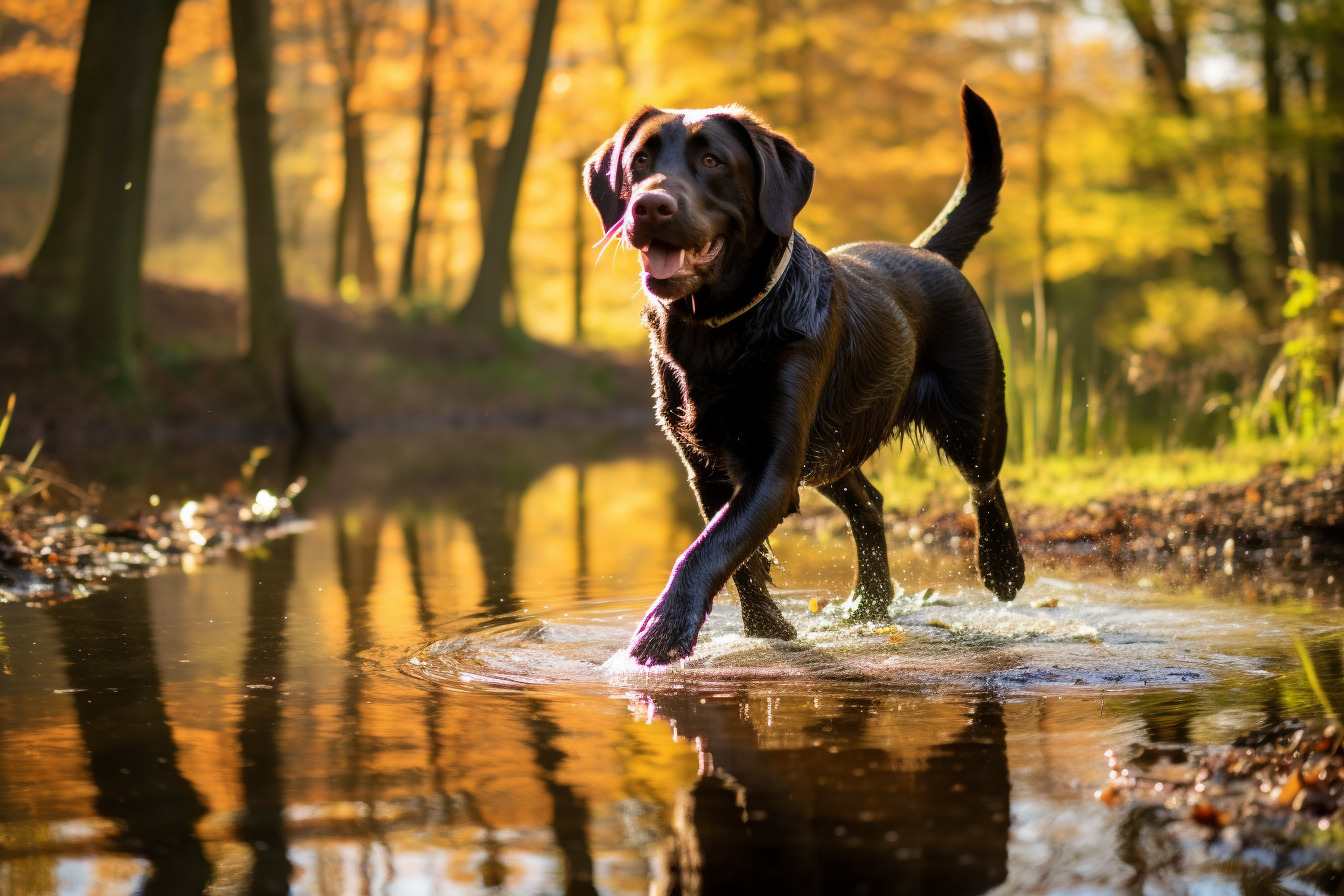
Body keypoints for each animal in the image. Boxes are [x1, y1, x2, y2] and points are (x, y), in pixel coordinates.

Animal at [583, 85, 1021, 666]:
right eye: (639, 161)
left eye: (712, 161)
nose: (650, 205)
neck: (719, 332)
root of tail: (926, 250)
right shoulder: (706, 469)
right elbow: (736, 558)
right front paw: (769, 631)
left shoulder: (773, 468)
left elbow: (709, 550)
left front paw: (662, 632)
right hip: (829, 449)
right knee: (870, 503)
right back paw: (868, 606)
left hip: (970, 415)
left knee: (984, 482)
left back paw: (1002, 567)